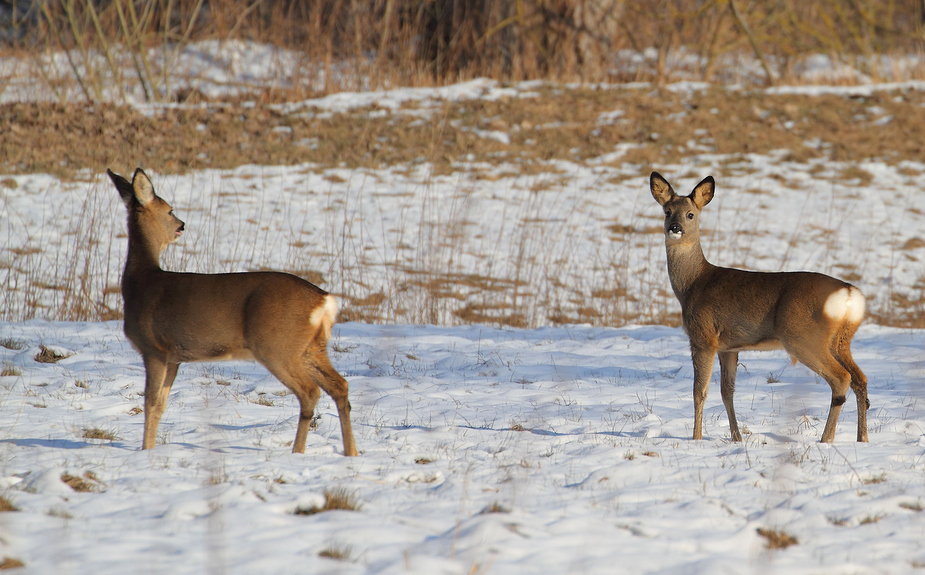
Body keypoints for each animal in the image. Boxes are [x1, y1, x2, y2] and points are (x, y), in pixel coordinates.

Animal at [106, 169, 356, 456]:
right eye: (170, 210)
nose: (182, 224)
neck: (139, 283)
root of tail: (324, 300)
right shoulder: (174, 357)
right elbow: (160, 405)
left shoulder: (153, 348)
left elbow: (150, 403)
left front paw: (145, 451)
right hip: (311, 347)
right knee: (340, 385)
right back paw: (351, 452)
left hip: (277, 346)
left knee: (310, 391)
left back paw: (298, 452)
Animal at [648, 172, 868, 446]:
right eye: (667, 212)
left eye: (690, 214)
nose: (675, 228)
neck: (692, 285)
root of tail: (849, 294)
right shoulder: (728, 347)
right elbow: (727, 392)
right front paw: (736, 438)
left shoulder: (703, 336)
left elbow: (700, 391)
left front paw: (696, 439)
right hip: (840, 340)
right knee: (860, 379)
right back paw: (862, 438)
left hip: (802, 336)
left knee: (842, 379)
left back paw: (826, 439)